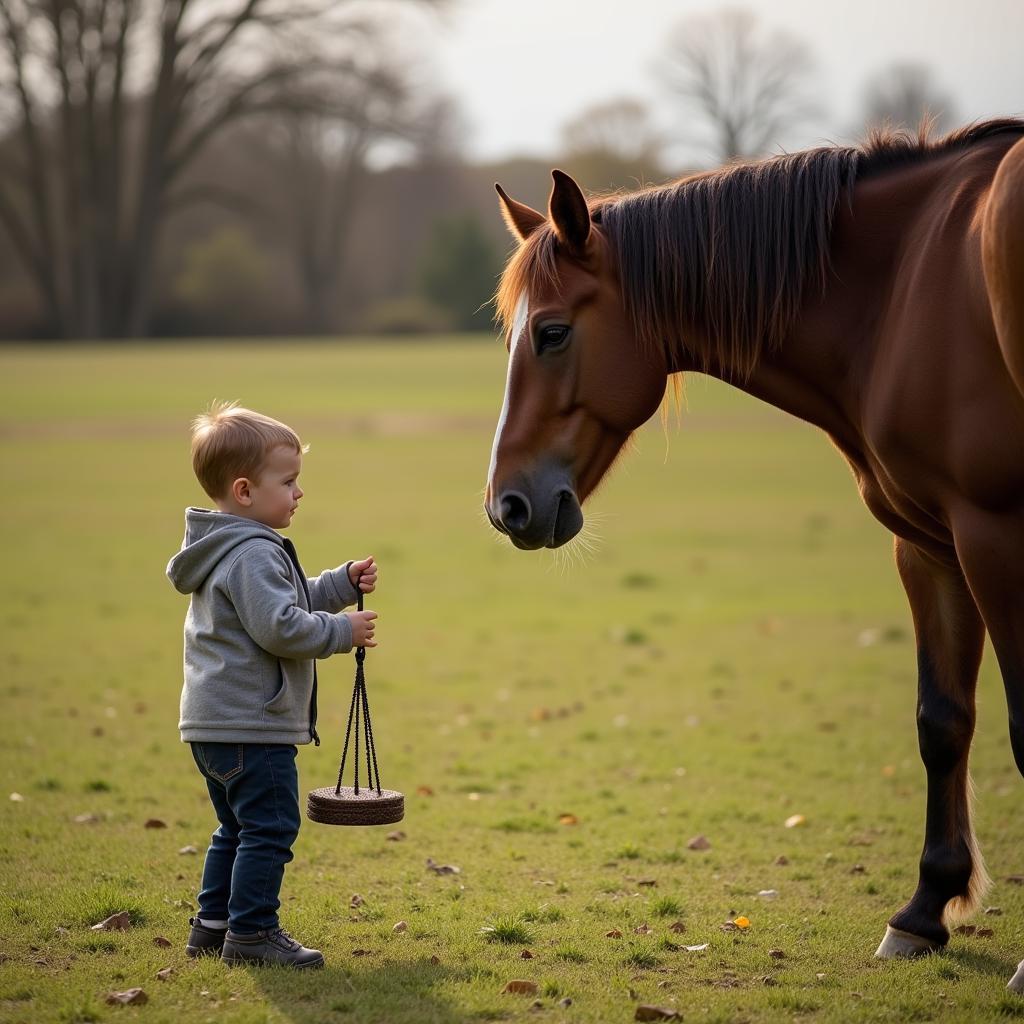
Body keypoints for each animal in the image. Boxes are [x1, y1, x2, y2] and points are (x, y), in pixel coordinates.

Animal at [483, 119, 1024, 991]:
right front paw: (921, 913)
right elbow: (942, 721)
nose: (506, 505)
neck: (907, 290)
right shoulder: (930, 544)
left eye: (552, 332)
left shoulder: (993, 533)